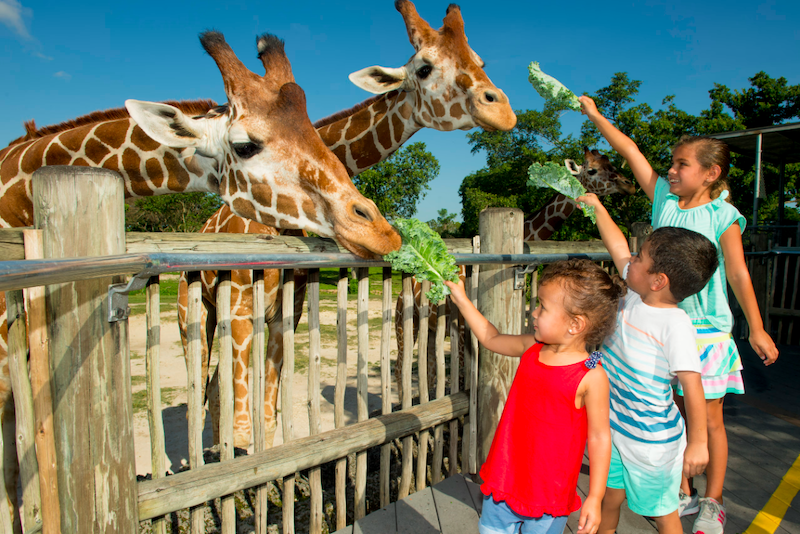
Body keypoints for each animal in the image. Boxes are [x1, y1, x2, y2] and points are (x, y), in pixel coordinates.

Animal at [177, 0, 516, 452]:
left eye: (480, 61)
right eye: (425, 67)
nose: (503, 111)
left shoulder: (287, 313)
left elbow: (265, 418)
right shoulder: (240, 309)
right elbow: (248, 421)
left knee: (215, 391)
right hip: (192, 311)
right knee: (201, 391)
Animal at [390, 149, 636, 404]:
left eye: (611, 163)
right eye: (592, 170)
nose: (629, 185)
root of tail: (403, 292)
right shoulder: (463, 330)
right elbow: (464, 379)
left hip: (430, 329)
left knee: (428, 370)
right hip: (405, 322)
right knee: (400, 367)